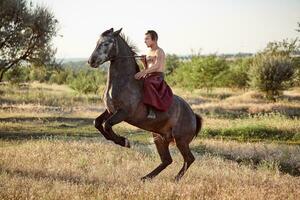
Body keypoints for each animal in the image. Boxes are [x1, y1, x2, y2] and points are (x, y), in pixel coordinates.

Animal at [88, 27, 203, 181]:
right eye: (97, 42)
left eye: (106, 43)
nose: (91, 61)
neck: (124, 82)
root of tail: (193, 115)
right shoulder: (110, 111)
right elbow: (97, 123)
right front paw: (121, 141)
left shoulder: (123, 113)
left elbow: (107, 125)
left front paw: (124, 141)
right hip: (160, 138)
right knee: (167, 160)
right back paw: (146, 178)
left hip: (181, 140)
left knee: (189, 159)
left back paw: (175, 179)